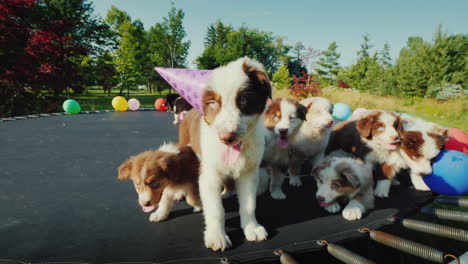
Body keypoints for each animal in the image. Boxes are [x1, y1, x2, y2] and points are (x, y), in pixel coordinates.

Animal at [180, 57, 274, 252]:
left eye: (244, 101)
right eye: (213, 103)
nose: (226, 138)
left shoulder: (248, 173)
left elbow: (249, 204)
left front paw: (251, 228)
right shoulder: (209, 176)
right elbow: (216, 210)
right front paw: (217, 236)